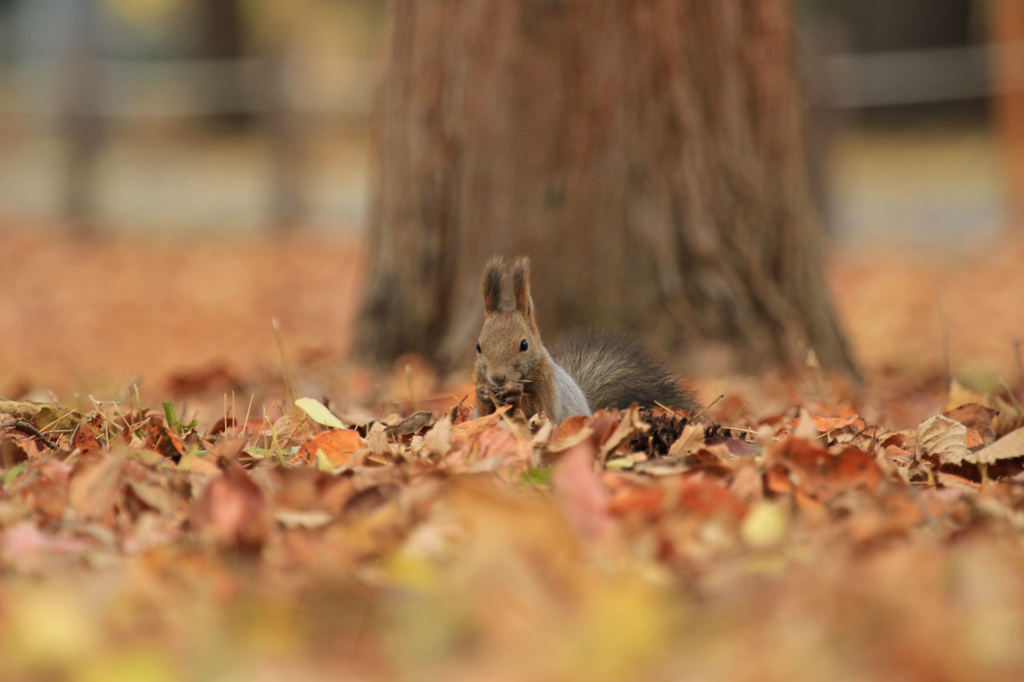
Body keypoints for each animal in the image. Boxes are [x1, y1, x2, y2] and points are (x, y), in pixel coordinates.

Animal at [473, 258, 696, 421]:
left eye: (524, 345)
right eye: (478, 346)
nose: (497, 378)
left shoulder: (548, 387)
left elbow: (541, 411)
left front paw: (515, 394)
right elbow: (484, 417)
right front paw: (485, 394)